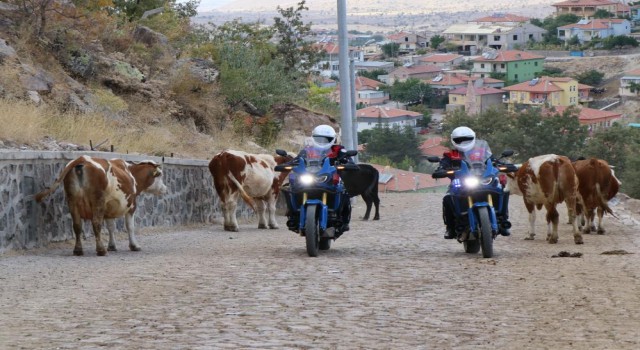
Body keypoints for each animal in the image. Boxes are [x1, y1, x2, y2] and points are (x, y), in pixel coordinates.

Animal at [34, 157, 168, 256]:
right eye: (160, 174)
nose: (165, 189)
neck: (131, 173)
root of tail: (82, 159)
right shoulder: (131, 206)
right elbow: (130, 227)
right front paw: (134, 246)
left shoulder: (109, 208)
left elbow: (111, 227)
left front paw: (112, 246)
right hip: (97, 202)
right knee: (96, 224)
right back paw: (101, 250)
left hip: (72, 201)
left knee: (77, 225)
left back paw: (78, 250)